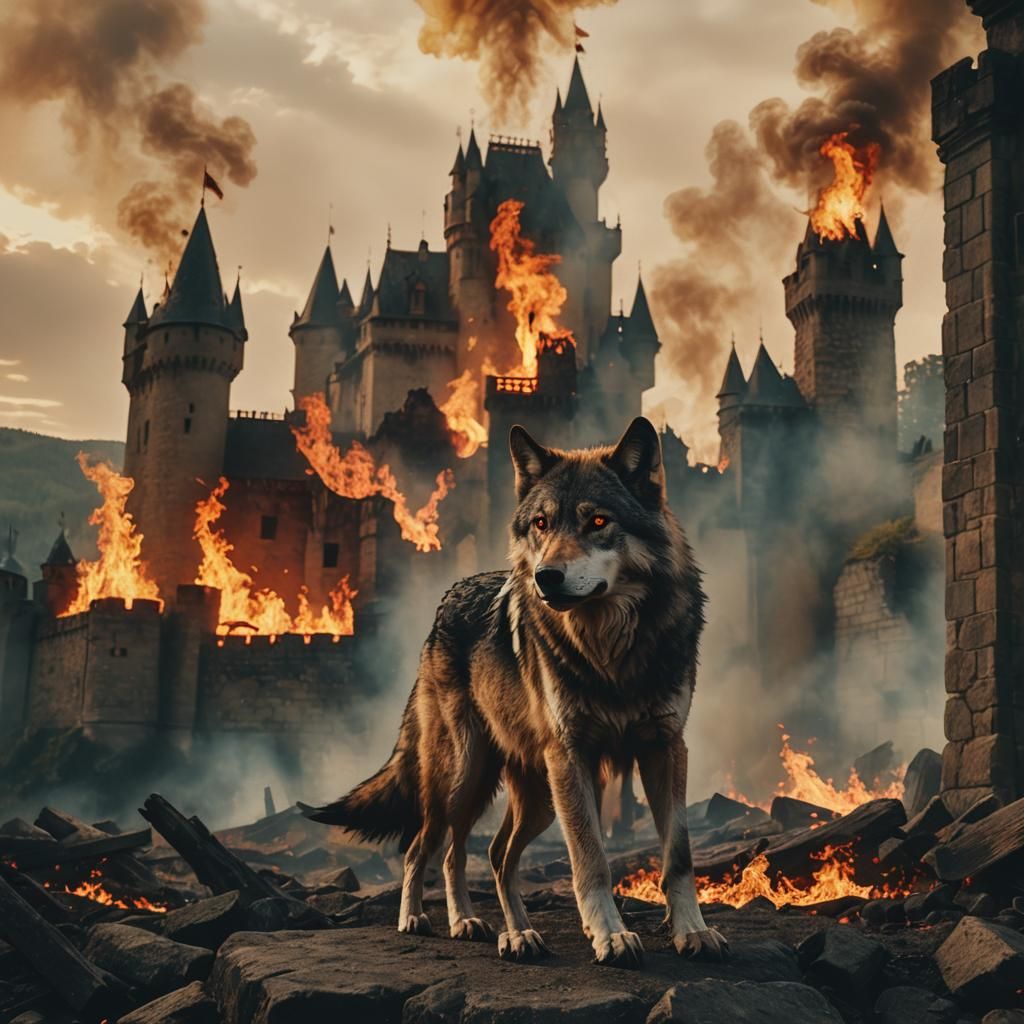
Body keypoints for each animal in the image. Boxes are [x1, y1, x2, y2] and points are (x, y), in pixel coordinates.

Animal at [306, 417, 727, 967]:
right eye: (542, 524)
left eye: (598, 522)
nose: (547, 577)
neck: (610, 648)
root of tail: (444, 603)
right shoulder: (571, 757)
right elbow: (591, 860)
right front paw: (610, 936)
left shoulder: (666, 748)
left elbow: (677, 854)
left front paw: (692, 931)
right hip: (464, 777)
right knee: (429, 847)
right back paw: (432, 920)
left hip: (537, 796)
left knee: (491, 853)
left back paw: (513, 932)